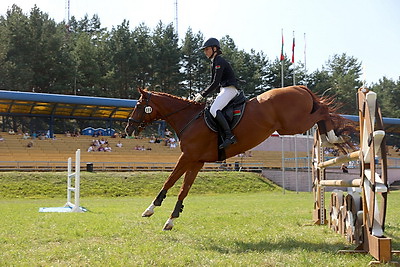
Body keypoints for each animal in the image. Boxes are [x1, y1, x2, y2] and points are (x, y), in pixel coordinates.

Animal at [125, 86, 350, 230]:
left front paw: (151, 209)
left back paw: (333, 137)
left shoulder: (187, 157)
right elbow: (183, 188)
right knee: (322, 116)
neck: (189, 118)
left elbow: (170, 180)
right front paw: (171, 218)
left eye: (138, 105)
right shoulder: (196, 161)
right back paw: (333, 139)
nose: (128, 129)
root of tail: (300, 88)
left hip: (294, 124)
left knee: (322, 112)